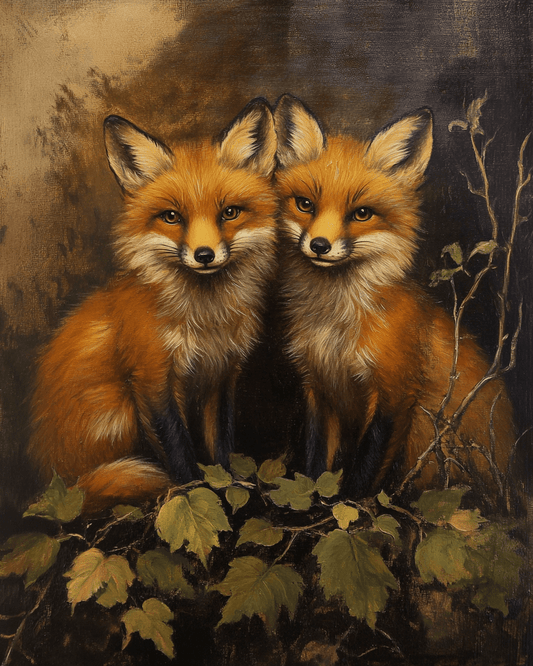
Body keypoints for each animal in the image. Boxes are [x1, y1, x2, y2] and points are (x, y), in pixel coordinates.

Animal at [28, 98, 278, 514]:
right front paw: (195, 495)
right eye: (172, 217)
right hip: (119, 409)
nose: (204, 255)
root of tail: (59, 487)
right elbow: (178, 453)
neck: (205, 320)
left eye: (229, 212)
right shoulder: (152, 379)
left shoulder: (222, 375)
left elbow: (221, 447)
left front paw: (230, 488)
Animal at [273, 93, 515, 500]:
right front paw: (315, 503)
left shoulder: (395, 393)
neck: (336, 328)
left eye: (362, 213)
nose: (319, 246)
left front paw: (349, 512)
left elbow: (364, 473)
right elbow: (316, 464)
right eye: (305, 204)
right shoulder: (317, 387)